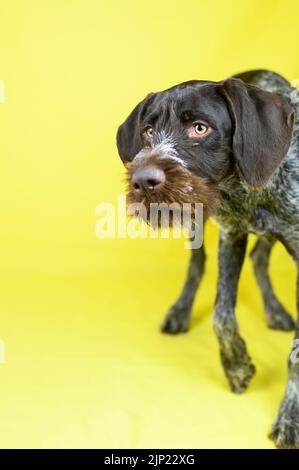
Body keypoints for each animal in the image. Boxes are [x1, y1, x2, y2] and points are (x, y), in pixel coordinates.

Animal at [117, 70, 299, 448]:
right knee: (197, 268)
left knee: (260, 257)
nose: (142, 180)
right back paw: (181, 312)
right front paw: (237, 366)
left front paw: (290, 417)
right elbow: (221, 315)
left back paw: (274, 309)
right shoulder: (231, 235)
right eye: (149, 131)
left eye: (199, 128)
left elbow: (296, 351)